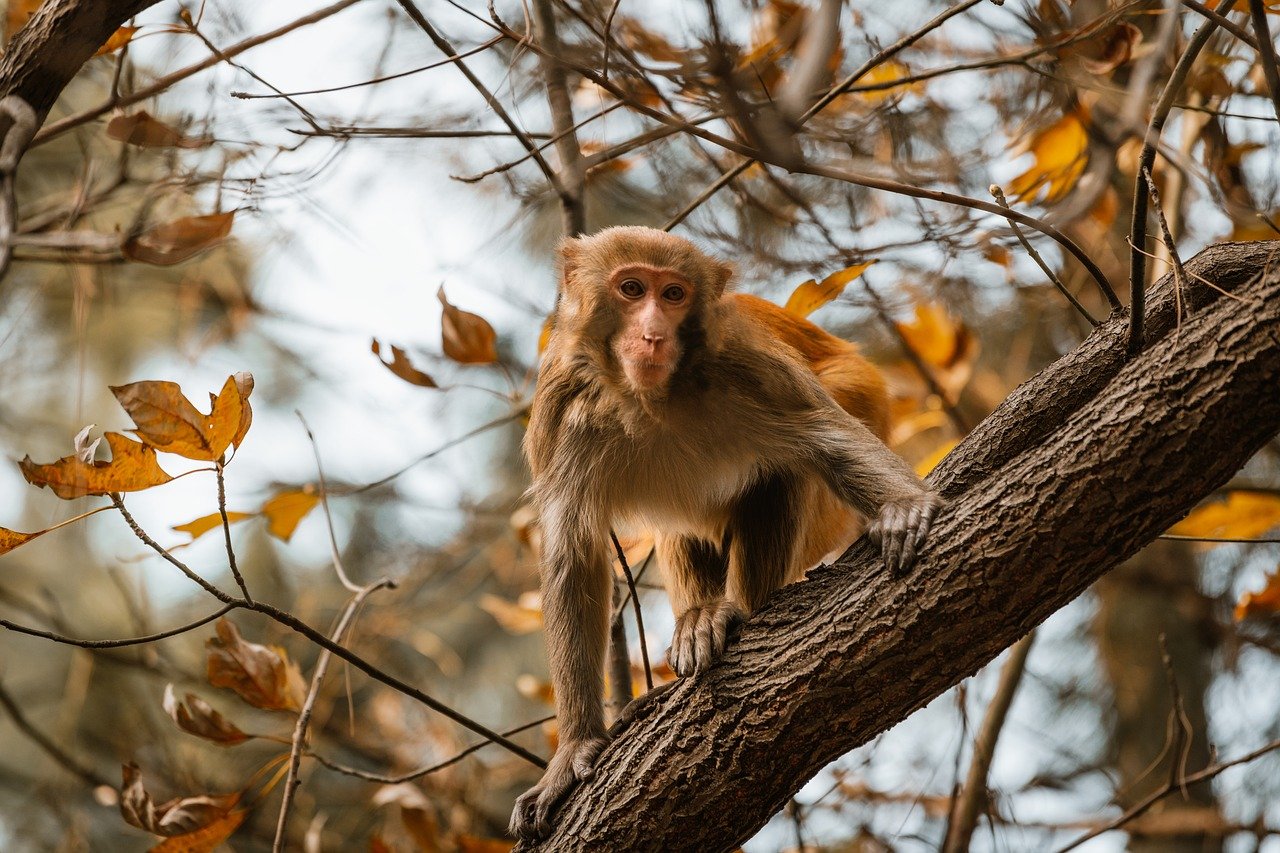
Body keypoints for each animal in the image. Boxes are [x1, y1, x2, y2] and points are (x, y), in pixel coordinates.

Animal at [509, 224, 942, 835]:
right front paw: (573, 750)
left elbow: (822, 433)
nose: (652, 333)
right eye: (631, 288)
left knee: (783, 463)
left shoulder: (743, 363)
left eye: (673, 295)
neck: (653, 399)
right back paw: (699, 619)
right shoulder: (562, 403)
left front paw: (903, 504)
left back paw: (734, 609)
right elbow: (574, 556)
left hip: (862, 402)